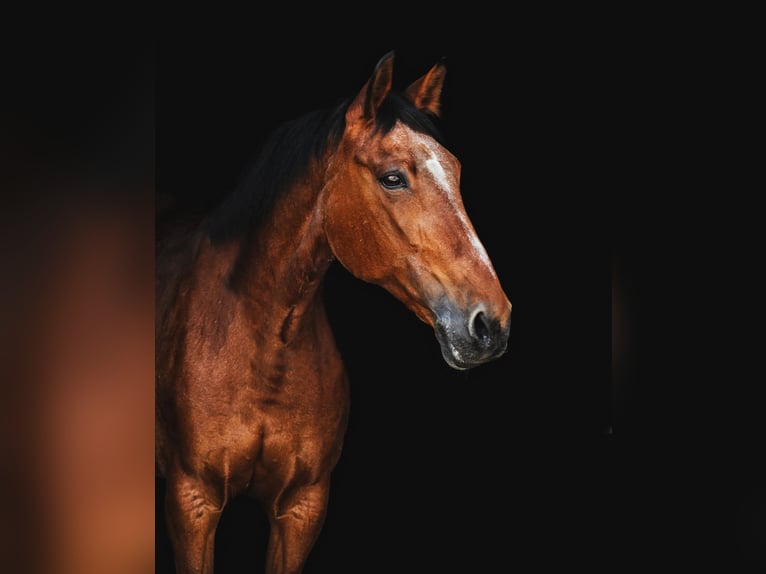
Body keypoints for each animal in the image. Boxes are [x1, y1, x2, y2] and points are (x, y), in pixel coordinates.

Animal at [157, 51, 512, 572]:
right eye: (392, 177)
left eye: (456, 170)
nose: (492, 323)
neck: (263, 342)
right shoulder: (192, 503)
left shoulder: (302, 508)